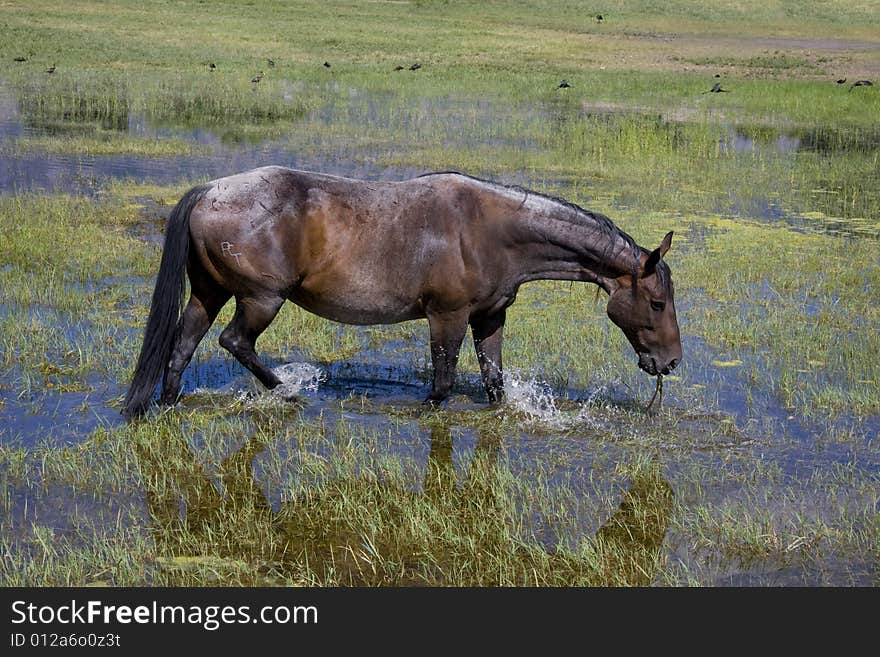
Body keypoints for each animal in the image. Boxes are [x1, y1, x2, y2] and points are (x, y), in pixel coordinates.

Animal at [120, 167, 680, 418]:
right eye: (656, 303)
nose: (671, 362)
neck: (490, 231)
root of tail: (210, 191)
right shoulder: (447, 317)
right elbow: (443, 383)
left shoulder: (490, 317)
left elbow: (494, 382)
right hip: (261, 299)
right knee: (234, 342)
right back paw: (286, 390)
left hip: (209, 292)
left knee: (184, 343)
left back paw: (168, 402)